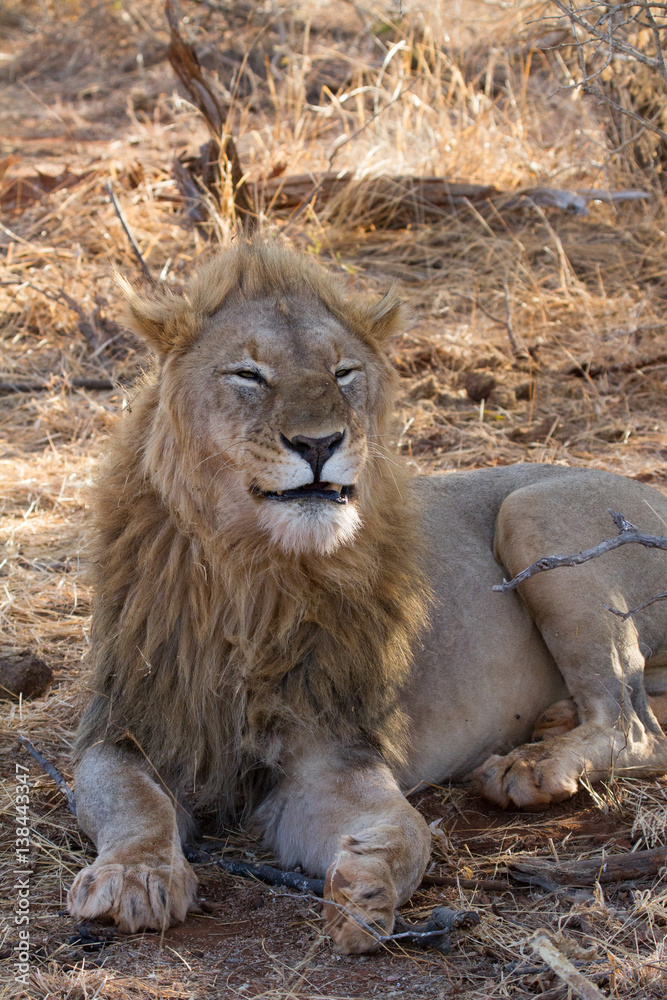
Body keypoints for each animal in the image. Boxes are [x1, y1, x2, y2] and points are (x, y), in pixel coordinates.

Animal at [68, 238, 667, 954]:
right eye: (247, 374)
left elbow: (404, 827)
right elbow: (134, 801)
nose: (319, 443)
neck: (249, 578)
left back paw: (532, 767)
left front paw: (366, 887)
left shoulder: (333, 748)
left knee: (636, 728)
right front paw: (137, 877)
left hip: (533, 513)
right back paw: (551, 723)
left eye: (344, 372)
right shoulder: (131, 724)